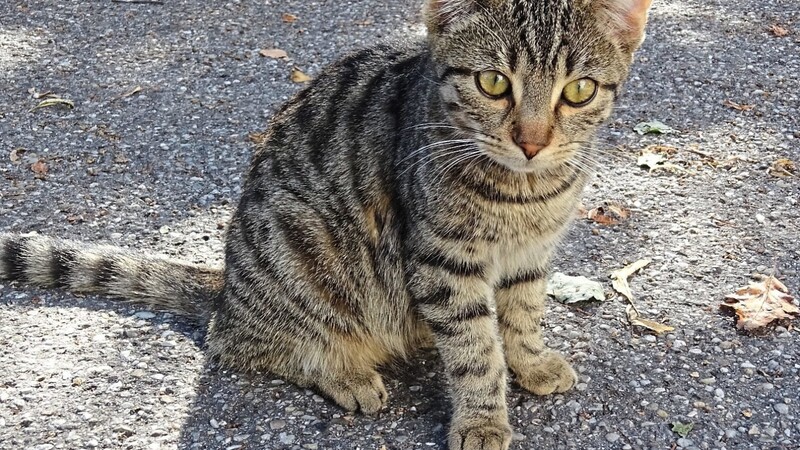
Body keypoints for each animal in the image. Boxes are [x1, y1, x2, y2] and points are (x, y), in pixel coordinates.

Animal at [0, 0, 648, 446]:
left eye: (578, 90)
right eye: (493, 83)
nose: (532, 142)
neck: (525, 194)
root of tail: (227, 287)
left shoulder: (532, 254)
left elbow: (521, 317)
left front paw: (531, 361)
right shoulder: (443, 262)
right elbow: (474, 349)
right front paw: (484, 418)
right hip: (302, 253)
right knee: (243, 344)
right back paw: (344, 373)